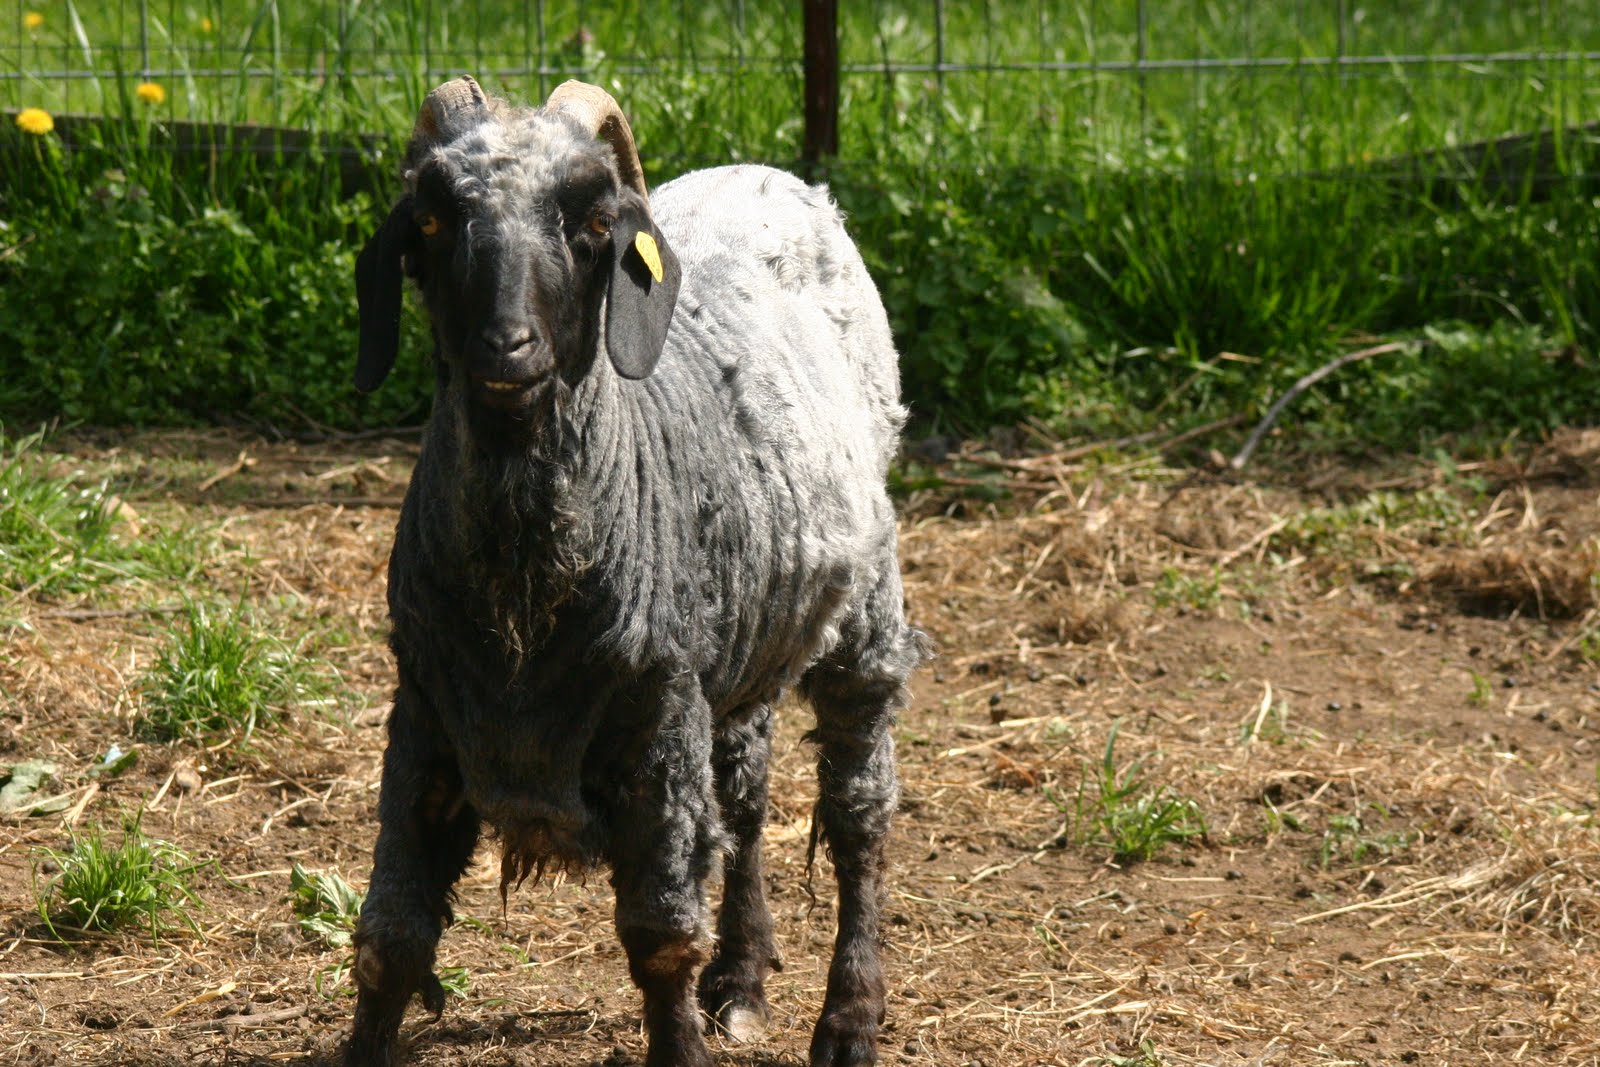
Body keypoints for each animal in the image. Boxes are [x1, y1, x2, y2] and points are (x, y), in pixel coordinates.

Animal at [346, 76, 924, 1067]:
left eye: (591, 220)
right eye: (430, 217)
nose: (506, 347)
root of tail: (776, 176)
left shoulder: (656, 715)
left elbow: (659, 936)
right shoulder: (423, 715)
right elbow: (394, 939)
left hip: (864, 614)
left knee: (859, 811)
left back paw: (849, 1019)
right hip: (739, 645)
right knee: (746, 795)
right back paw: (742, 979)